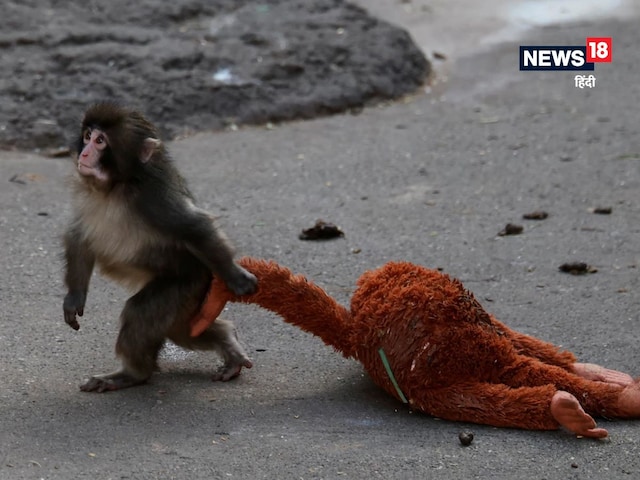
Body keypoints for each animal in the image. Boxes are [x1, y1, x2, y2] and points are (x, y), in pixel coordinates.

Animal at [63, 102, 258, 392]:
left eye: (100, 141)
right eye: (87, 136)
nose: (84, 153)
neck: (116, 186)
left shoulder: (154, 199)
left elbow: (194, 226)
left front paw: (236, 277)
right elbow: (79, 237)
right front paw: (74, 297)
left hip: (188, 283)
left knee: (142, 313)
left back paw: (133, 374)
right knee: (183, 330)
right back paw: (227, 340)